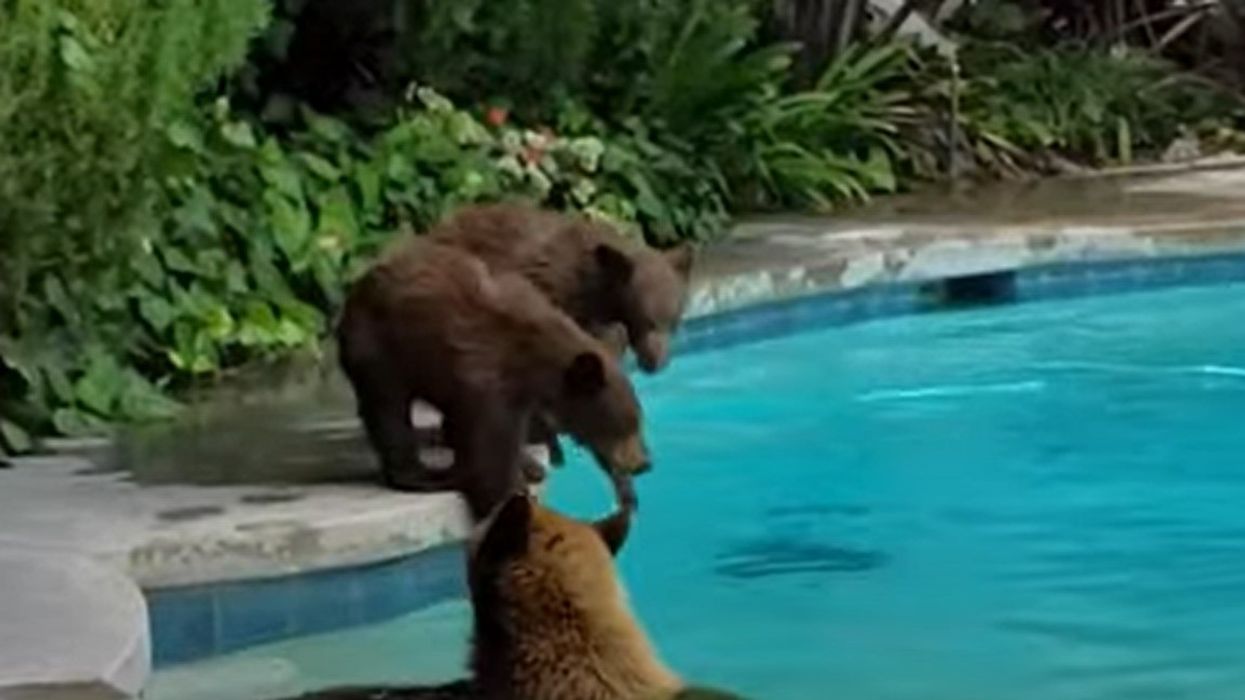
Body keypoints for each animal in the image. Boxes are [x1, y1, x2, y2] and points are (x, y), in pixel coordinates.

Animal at [336, 238, 649, 518]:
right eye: (625, 426)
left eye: (637, 421)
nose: (644, 464)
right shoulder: (490, 385)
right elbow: (490, 461)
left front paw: (626, 491)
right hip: (378, 349)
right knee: (387, 408)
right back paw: (422, 475)